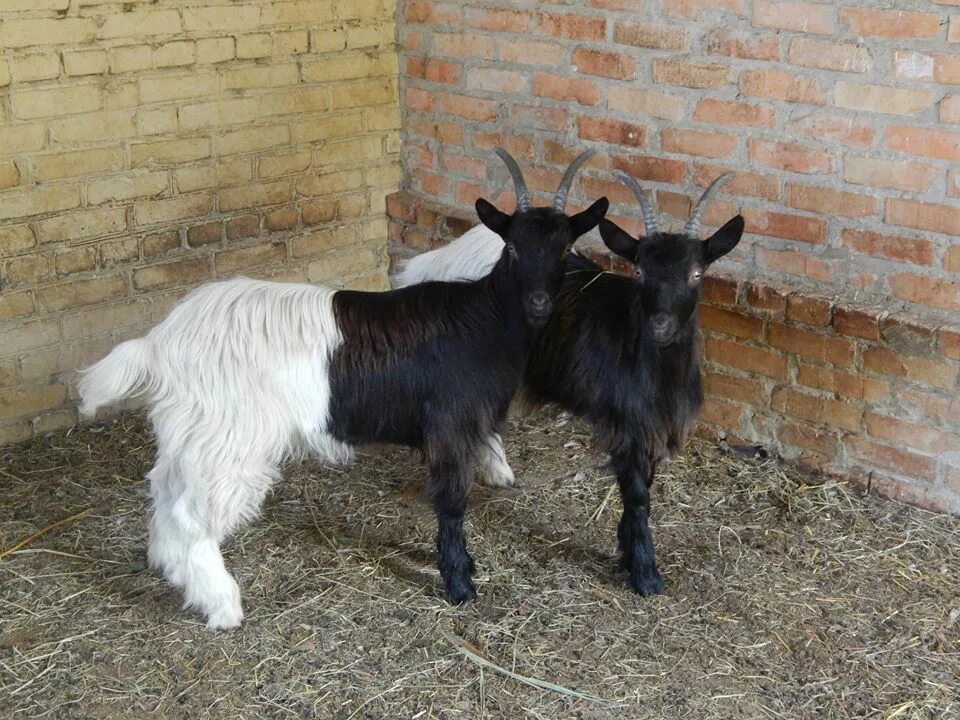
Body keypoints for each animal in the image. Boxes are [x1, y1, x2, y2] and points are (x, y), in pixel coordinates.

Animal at [82, 149, 608, 628]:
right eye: (513, 248)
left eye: (564, 249)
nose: (539, 302)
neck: (485, 318)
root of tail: (160, 343)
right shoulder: (450, 428)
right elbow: (452, 504)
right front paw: (459, 584)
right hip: (229, 439)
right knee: (193, 514)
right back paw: (223, 606)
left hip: (191, 433)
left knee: (164, 490)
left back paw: (167, 565)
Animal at [394, 173, 748, 596]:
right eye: (640, 272)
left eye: (697, 273)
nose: (660, 325)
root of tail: (436, 260)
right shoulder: (626, 424)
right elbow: (638, 495)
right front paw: (645, 573)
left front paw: (627, 552)